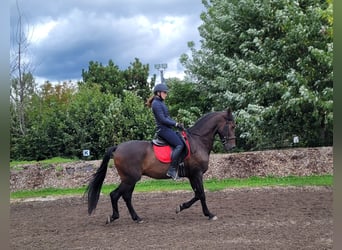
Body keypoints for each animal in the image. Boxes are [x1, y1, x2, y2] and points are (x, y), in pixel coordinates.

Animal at [86, 107, 235, 223]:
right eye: (233, 126)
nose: (232, 147)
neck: (197, 141)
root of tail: (118, 148)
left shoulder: (192, 175)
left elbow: (198, 194)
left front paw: (181, 207)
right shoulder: (196, 174)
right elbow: (202, 194)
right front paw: (209, 214)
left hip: (130, 180)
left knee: (126, 196)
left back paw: (136, 218)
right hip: (130, 179)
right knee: (115, 195)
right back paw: (113, 217)